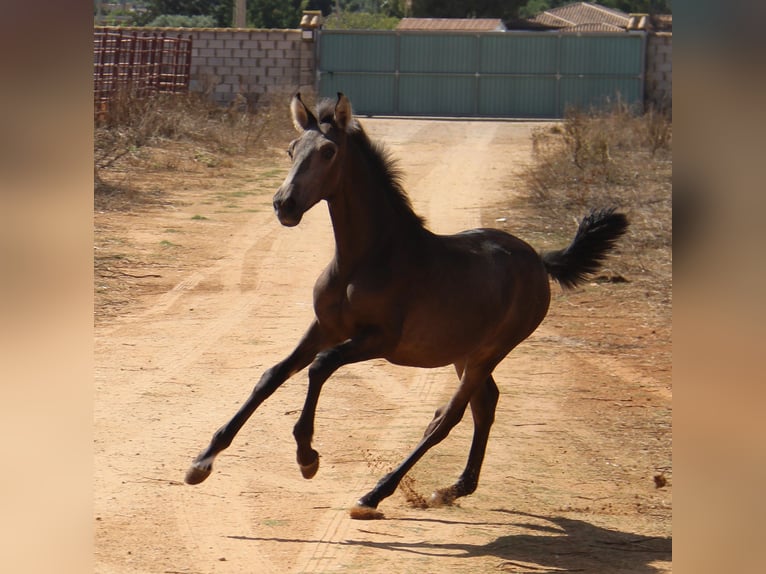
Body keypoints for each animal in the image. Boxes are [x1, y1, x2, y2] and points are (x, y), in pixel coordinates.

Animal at [186, 92, 632, 520]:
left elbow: (319, 367)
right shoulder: (324, 327)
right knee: (485, 404)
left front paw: (306, 456)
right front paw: (202, 461)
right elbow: (271, 375)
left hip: (491, 351)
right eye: (291, 149)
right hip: (464, 353)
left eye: (328, 152)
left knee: (447, 418)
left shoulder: (377, 340)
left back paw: (374, 495)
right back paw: (454, 488)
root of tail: (539, 260)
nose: (285, 205)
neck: (366, 259)